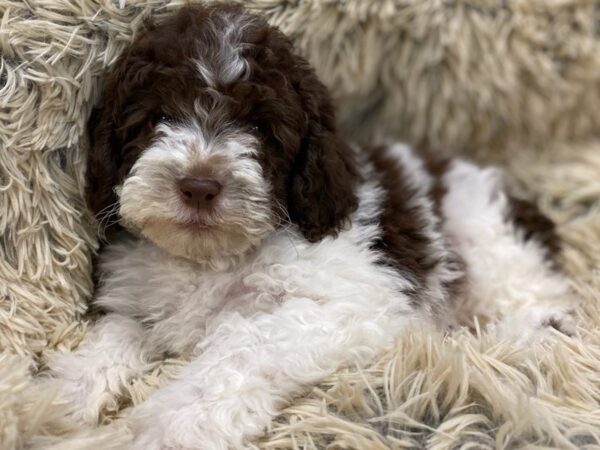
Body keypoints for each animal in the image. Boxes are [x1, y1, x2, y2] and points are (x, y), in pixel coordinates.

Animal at [47, 4, 576, 450]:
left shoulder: (348, 305)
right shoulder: (137, 302)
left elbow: (243, 347)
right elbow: (115, 335)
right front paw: (55, 400)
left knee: (540, 306)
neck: (210, 258)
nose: (198, 186)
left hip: (488, 235)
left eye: (259, 129)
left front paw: (175, 423)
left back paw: (522, 336)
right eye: (157, 117)